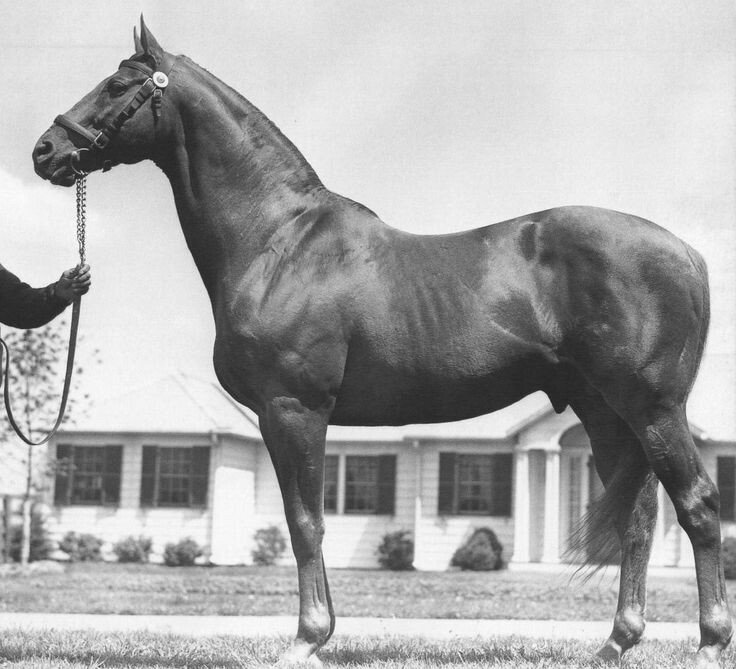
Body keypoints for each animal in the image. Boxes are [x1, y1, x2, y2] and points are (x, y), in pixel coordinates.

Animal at [32, 18, 731, 668]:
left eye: (117, 85)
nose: (46, 150)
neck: (280, 243)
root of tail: (688, 254)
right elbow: (307, 520)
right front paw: (323, 634)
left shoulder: (294, 411)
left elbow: (305, 521)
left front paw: (307, 639)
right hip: (605, 413)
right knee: (638, 519)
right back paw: (617, 642)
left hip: (653, 409)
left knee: (696, 505)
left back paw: (709, 642)